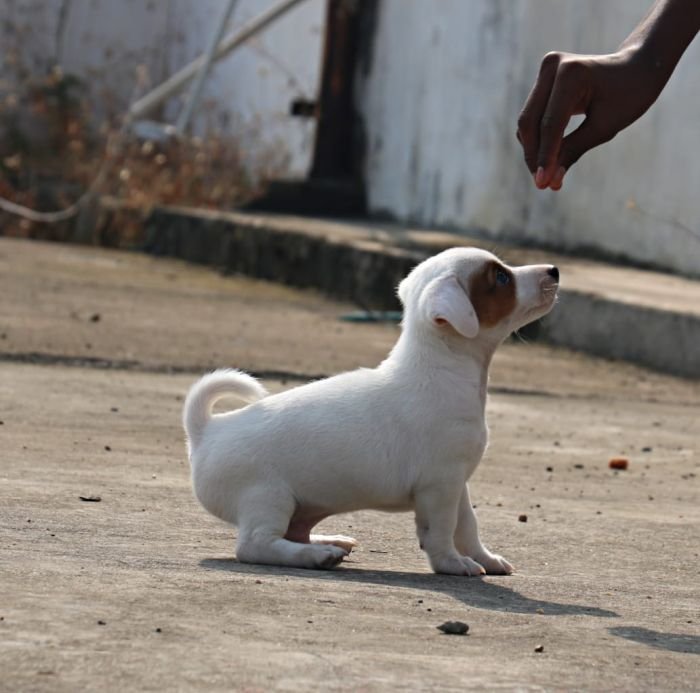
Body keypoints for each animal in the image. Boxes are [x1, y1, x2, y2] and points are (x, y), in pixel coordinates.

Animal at [182, 247, 556, 572]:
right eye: (501, 277)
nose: (554, 270)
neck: (441, 367)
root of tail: (207, 430)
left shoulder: (457, 484)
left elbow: (468, 525)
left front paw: (486, 559)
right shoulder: (440, 485)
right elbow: (442, 530)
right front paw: (453, 563)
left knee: (292, 532)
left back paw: (326, 542)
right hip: (268, 498)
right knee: (256, 545)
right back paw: (315, 556)